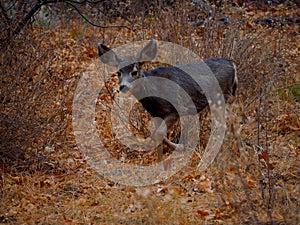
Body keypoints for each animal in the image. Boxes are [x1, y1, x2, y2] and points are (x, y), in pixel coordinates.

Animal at [97, 40, 238, 160]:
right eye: (118, 73)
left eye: (135, 72)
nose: (123, 86)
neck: (154, 92)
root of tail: (232, 64)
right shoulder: (156, 113)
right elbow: (157, 136)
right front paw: (160, 162)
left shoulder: (176, 108)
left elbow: (158, 134)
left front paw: (180, 148)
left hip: (220, 97)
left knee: (222, 125)